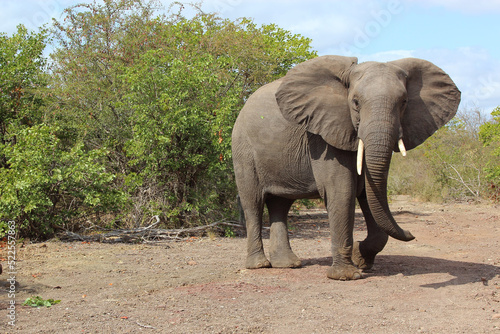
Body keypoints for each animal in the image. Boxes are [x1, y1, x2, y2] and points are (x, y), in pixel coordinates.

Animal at [232, 56, 458, 280]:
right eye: (355, 103)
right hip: (243, 149)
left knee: (280, 204)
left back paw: (288, 264)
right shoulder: (323, 138)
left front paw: (361, 260)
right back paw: (259, 265)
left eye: (404, 102)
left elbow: (369, 192)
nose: (412, 234)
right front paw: (347, 275)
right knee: (253, 202)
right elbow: (343, 191)